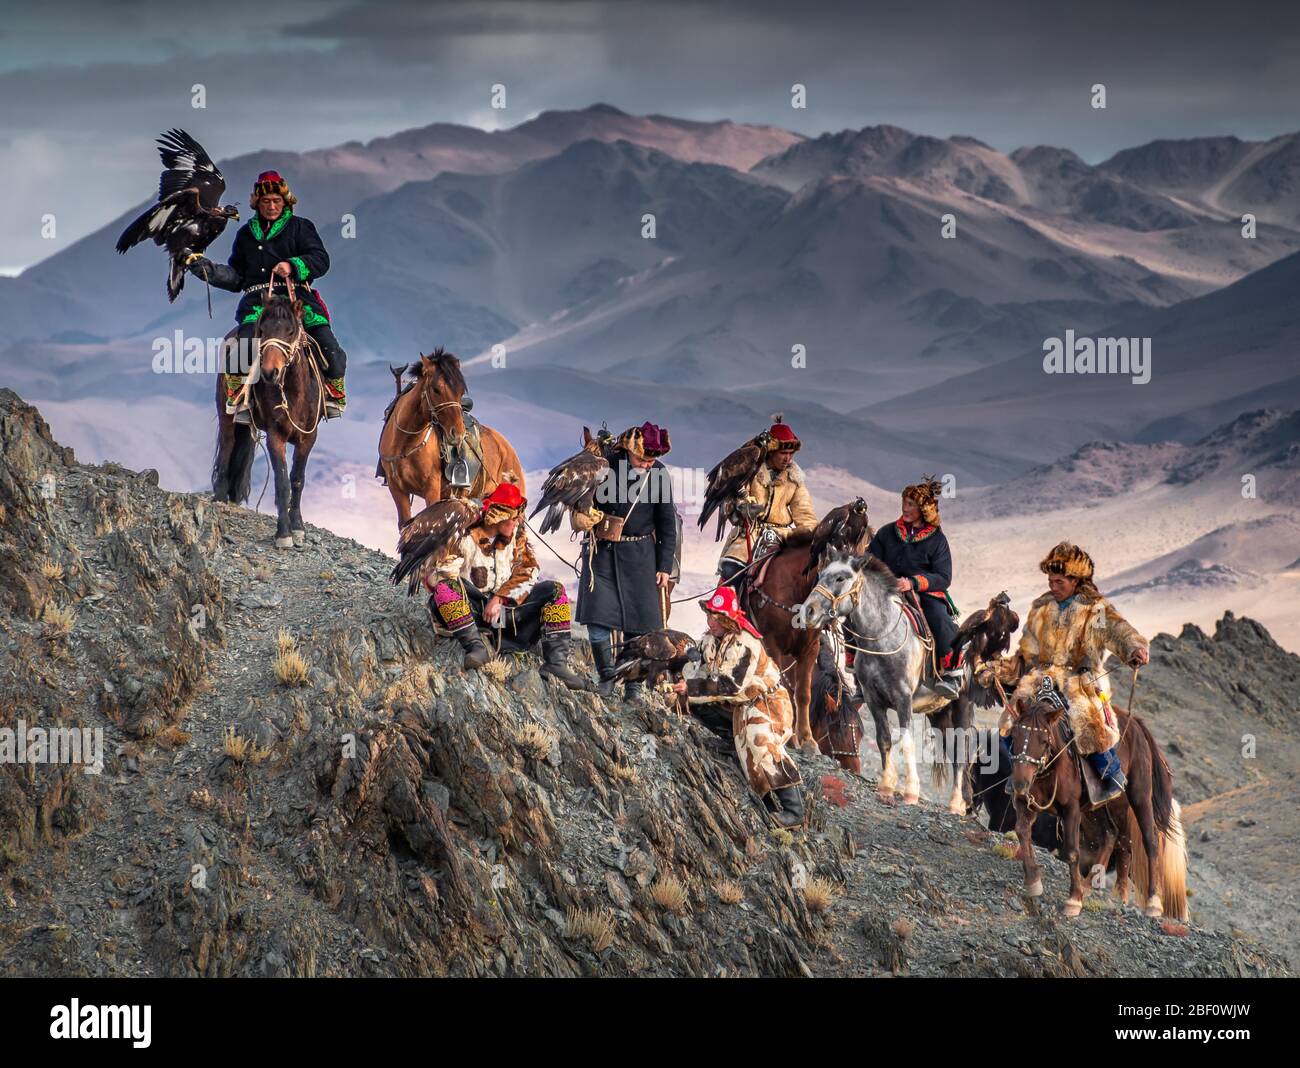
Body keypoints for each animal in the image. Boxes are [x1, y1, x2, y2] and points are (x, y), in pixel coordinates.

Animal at [213, 288, 322, 548]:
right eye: (262, 330)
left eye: (290, 331)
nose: (270, 372)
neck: (294, 394)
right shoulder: (276, 436)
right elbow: (282, 482)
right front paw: (283, 534)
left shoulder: (308, 438)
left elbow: (297, 480)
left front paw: (298, 527)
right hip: (225, 412)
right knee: (228, 445)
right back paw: (220, 496)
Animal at [1003, 691, 1190, 925]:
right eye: (1015, 735)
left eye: (1044, 740)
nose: (1020, 783)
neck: (1051, 767)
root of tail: (1137, 725)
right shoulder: (1024, 803)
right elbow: (1022, 831)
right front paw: (1033, 882)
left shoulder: (1071, 809)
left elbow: (1072, 851)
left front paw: (1073, 900)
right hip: (1101, 805)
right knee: (1113, 835)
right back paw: (1090, 885)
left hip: (1138, 797)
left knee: (1149, 840)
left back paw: (1153, 902)